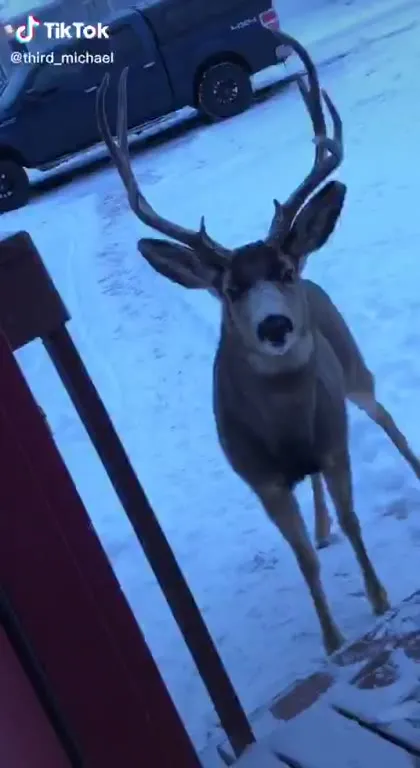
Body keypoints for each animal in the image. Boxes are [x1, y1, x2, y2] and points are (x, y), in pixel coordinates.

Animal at [96, 34, 420, 654]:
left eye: (284, 271)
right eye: (230, 289)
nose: (275, 327)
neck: (286, 429)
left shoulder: (334, 441)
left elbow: (355, 520)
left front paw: (378, 599)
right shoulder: (260, 479)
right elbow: (301, 558)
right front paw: (331, 638)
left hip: (353, 367)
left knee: (385, 415)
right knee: (315, 504)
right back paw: (320, 528)